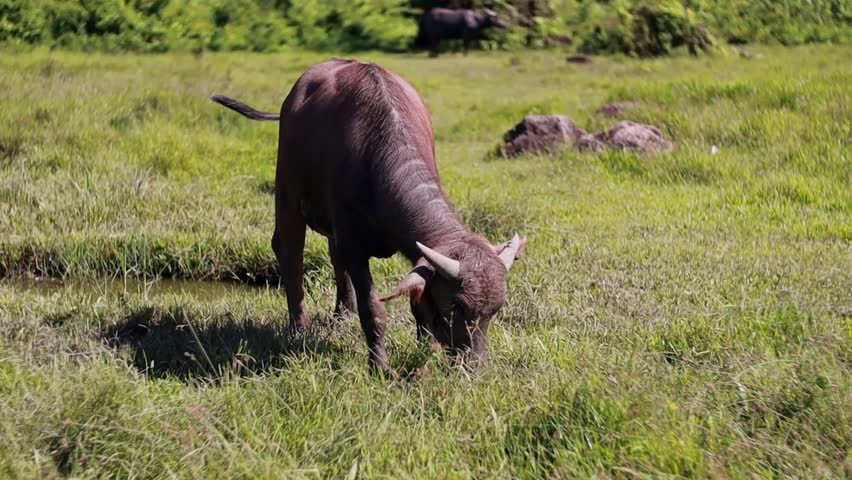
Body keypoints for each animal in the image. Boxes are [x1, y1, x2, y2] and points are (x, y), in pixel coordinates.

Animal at [212, 59, 525, 373]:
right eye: (457, 305)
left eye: (496, 309)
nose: (473, 365)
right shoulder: (354, 246)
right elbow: (373, 307)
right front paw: (380, 366)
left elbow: (415, 301)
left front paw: (423, 346)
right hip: (287, 190)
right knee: (290, 251)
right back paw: (299, 328)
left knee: (332, 256)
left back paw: (343, 314)